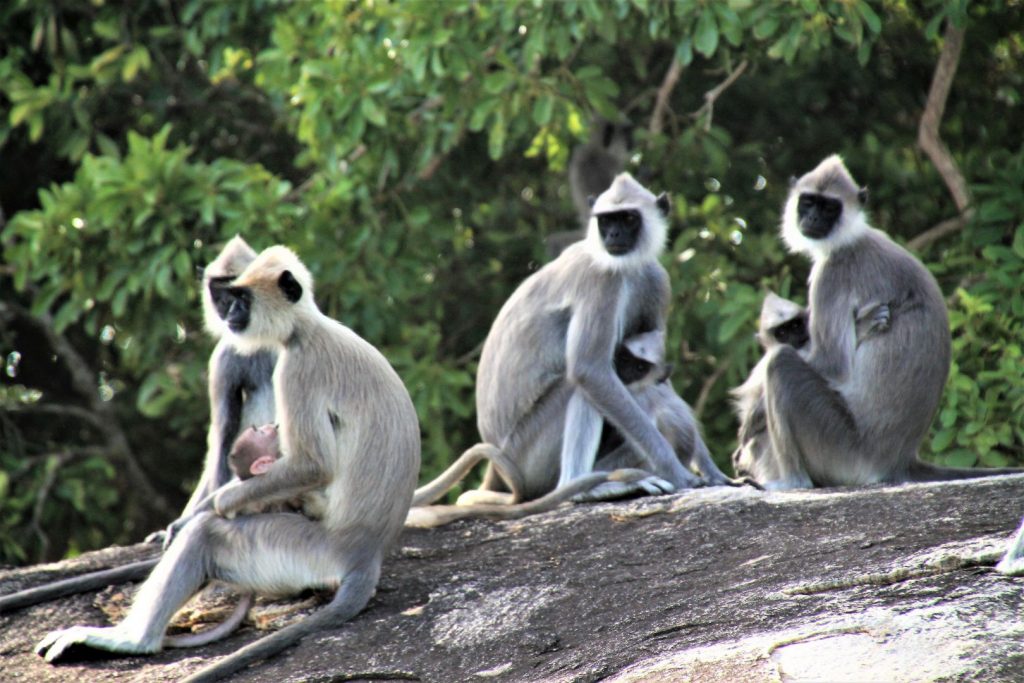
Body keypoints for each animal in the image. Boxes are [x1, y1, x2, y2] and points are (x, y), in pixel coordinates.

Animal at [36, 245, 419, 683]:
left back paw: (133, 639)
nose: (232, 314)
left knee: (209, 535)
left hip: (303, 552)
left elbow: (312, 465)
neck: (307, 327)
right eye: (231, 297)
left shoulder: (297, 366)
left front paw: (219, 504)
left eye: (242, 299)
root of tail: (365, 554)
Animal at [757, 155, 1019, 489]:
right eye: (809, 202)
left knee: (780, 364)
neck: (849, 239)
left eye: (829, 208)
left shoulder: (832, 275)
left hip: (842, 449)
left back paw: (792, 482)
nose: (813, 218)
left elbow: (832, 364)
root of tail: (900, 460)